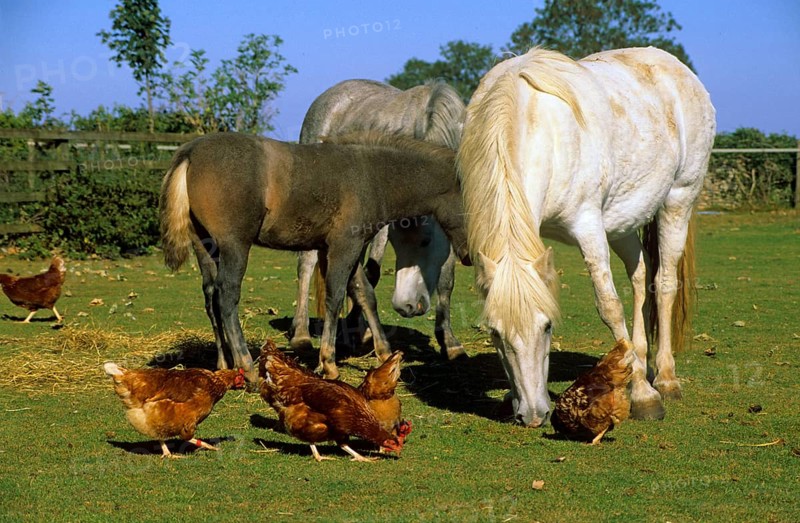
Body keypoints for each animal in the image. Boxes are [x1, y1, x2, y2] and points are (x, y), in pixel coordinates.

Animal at [159, 131, 470, 382]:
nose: (468, 255)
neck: (372, 176)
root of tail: (190, 152)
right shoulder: (344, 245)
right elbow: (335, 297)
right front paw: (328, 363)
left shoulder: (345, 247)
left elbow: (364, 294)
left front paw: (384, 352)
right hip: (235, 246)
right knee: (226, 297)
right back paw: (247, 366)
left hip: (206, 247)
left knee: (211, 297)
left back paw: (224, 363)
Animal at [289, 79, 468, 360]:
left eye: (426, 241)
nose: (407, 306)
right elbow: (371, 273)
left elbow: (446, 280)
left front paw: (449, 341)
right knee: (306, 264)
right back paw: (301, 334)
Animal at [457, 47, 716, 427]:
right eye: (494, 333)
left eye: (548, 327)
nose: (532, 414)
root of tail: (679, 69)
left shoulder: (588, 226)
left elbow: (609, 306)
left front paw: (644, 396)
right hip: (623, 221)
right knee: (641, 276)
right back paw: (637, 361)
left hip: (678, 200)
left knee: (665, 283)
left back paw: (665, 379)